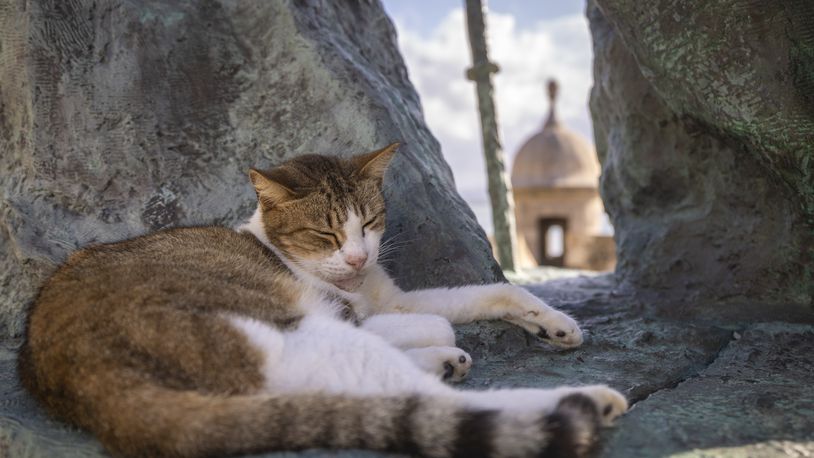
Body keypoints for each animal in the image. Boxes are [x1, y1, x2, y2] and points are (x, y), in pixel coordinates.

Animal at [19, 144, 632, 458]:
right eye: (325, 234)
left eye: (371, 223)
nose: (358, 258)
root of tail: (88, 386)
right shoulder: (352, 314)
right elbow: (441, 321)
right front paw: (442, 344)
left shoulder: (391, 297)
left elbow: (490, 292)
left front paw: (553, 322)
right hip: (283, 332)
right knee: (427, 404)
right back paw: (586, 400)